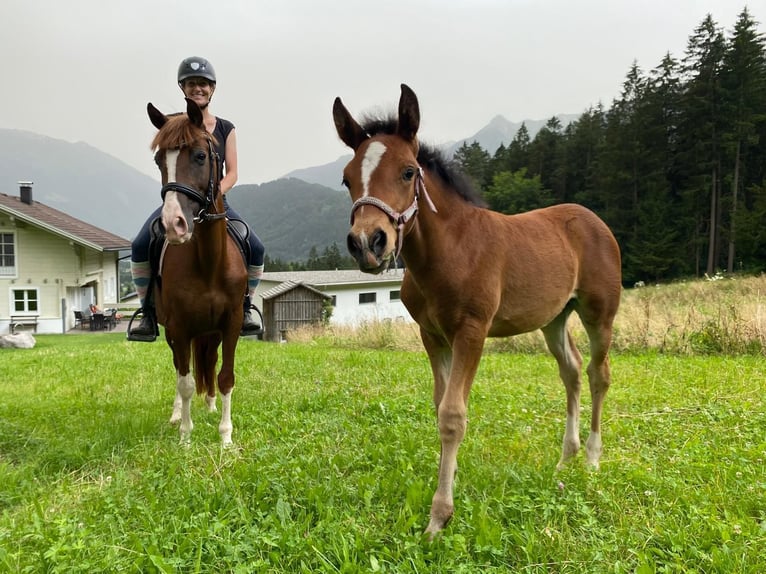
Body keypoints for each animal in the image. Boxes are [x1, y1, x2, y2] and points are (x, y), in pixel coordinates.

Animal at [147, 99, 246, 448]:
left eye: (201, 156)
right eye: (159, 160)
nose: (173, 224)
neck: (209, 263)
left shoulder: (231, 322)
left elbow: (226, 376)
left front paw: (226, 437)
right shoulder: (180, 326)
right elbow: (186, 381)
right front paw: (185, 436)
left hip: (211, 333)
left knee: (209, 363)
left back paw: (211, 405)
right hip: (175, 332)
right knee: (180, 368)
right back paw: (178, 414)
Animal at [336, 85, 624, 540]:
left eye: (408, 172)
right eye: (347, 178)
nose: (368, 243)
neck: (450, 250)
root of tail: (595, 221)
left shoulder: (471, 331)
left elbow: (453, 415)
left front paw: (439, 516)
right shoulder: (432, 336)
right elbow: (439, 406)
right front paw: (448, 484)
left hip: (600, 313)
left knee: (599, 373)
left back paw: (593, 459)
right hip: (554, 319)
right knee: (572, 371)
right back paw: (565, 459)